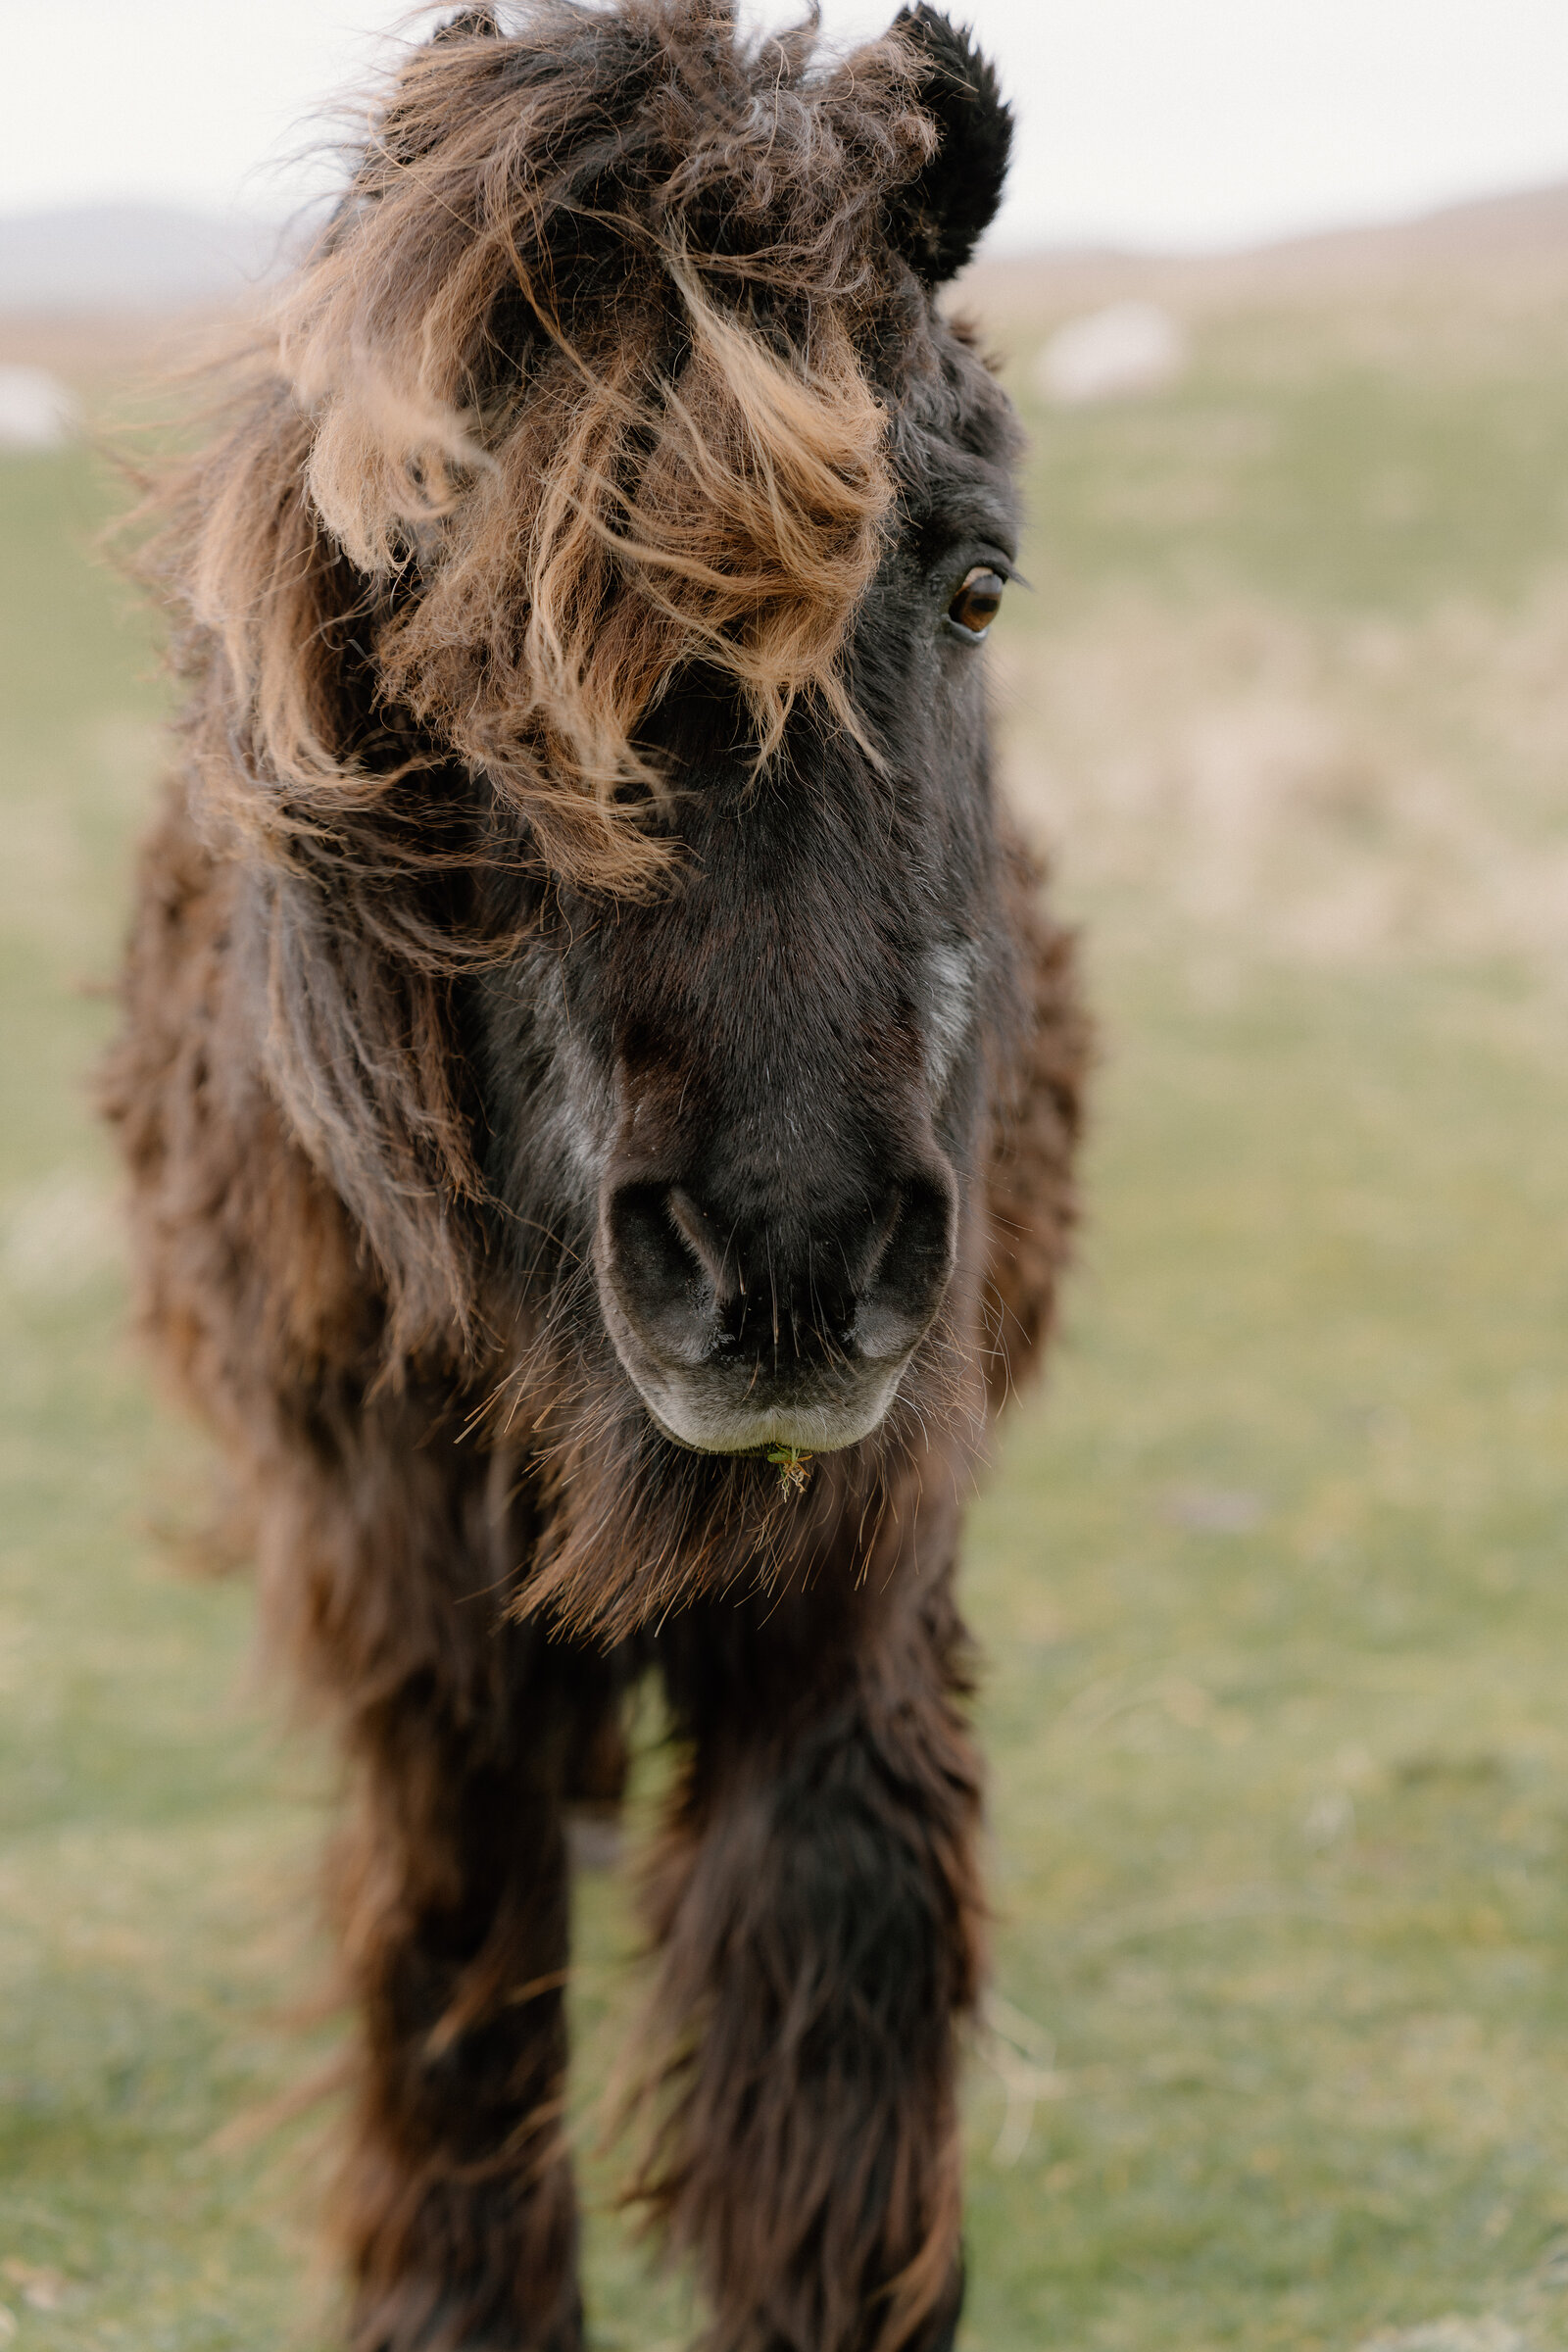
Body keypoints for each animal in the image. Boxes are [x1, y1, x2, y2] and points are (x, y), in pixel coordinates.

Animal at [102, 4, 1088, 2346]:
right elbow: (461, 2038)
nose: (791, 1262)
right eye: (446, 612)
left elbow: (822, 2082)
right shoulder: (422, 1655)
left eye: (973, 583)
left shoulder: (848, 1606)